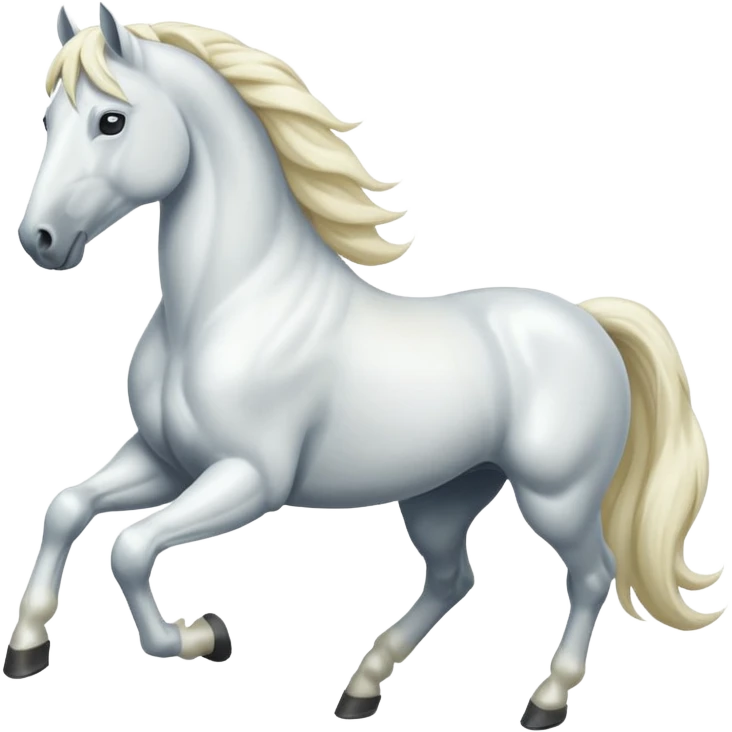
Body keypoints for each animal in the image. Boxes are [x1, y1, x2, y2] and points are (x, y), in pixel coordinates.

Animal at [7, 4, 724, 728]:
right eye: (49, 120)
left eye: (112, 120)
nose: (40, 240)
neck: (227, 305)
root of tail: (588, 322)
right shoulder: (165, 461)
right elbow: (67, 508)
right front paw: (27, 648)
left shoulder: (248, 478)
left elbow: (129, 549)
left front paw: (205, 635)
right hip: (443, 494)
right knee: (453, 577)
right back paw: (362, 687)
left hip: (558, 496)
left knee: (591, 572)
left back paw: (545, 700)